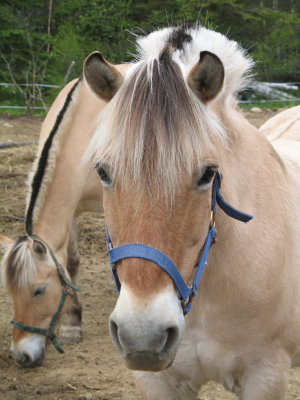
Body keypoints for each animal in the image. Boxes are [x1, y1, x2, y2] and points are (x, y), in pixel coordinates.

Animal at [0, 61, 130, 366]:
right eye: (10, 292)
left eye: (38, 290)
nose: (22, 356)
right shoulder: (71, 210)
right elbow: (70, 263)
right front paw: (72, 324)